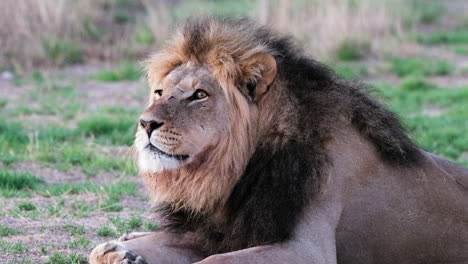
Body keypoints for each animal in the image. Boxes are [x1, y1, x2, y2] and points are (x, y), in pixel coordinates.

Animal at [88, 17, 468, 262]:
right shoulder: (213, 233)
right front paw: (119, 254)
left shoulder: (309, 249)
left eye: (199, 95)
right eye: (159, 92)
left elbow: (213, 262)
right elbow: (97, 252)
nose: (146, 123)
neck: (238, 173)